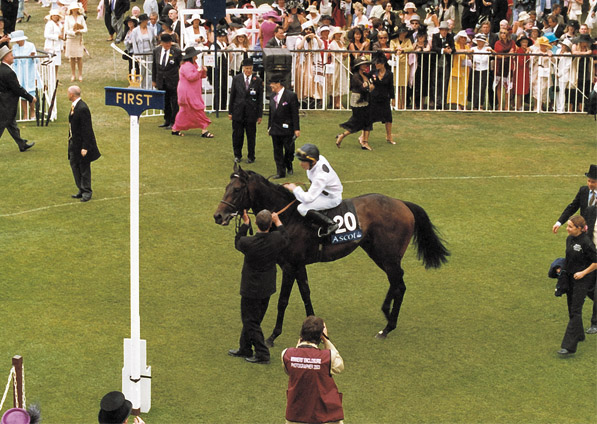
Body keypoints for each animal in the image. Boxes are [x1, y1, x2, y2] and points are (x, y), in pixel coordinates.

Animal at [212, 166, 450, 344]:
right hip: (377, 252)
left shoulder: (289, 266)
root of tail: (402, 204)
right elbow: (306, 294)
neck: (289, 218)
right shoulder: (299, 265)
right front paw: (315, 327)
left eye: (236, 189)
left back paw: (387, 327)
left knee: (399, 284)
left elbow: (283, 300)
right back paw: (386, 312)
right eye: (226, 187)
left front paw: (273, 336)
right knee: (396, 282)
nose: (218, 216)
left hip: (388, 256)